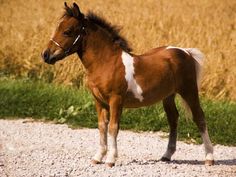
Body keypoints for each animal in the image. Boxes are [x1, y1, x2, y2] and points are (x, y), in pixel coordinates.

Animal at [42, 2, 214, 167]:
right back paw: (166, 155)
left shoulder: (116, 100)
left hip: (189, 91)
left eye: (67, 31)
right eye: (57, 27)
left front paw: (110, 160)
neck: (106, 62)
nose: (46, 55)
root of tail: (186, 52)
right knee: (173, 119)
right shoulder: (99, 101)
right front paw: (98, 157)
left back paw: (209, 158)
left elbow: (113, 127)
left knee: (200, 118)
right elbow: (102, 126)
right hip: (168, 96)